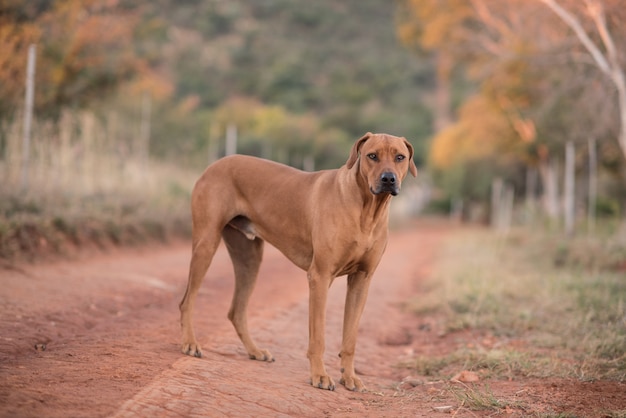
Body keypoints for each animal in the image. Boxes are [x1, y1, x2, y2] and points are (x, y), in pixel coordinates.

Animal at [178, 133, 416, 392]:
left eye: (400, 157)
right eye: (372, 156)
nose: (388, 179)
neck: (367, 210)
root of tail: (215, 164)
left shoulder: (362, 280)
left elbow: (350, 338)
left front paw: (350, 377)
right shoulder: (320, 277)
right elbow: (318, 337)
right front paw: (320, 375)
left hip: (249, 258)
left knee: (236, 311)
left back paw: (255, 351)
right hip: (206, 244)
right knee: (187, 301)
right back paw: (190, 343)